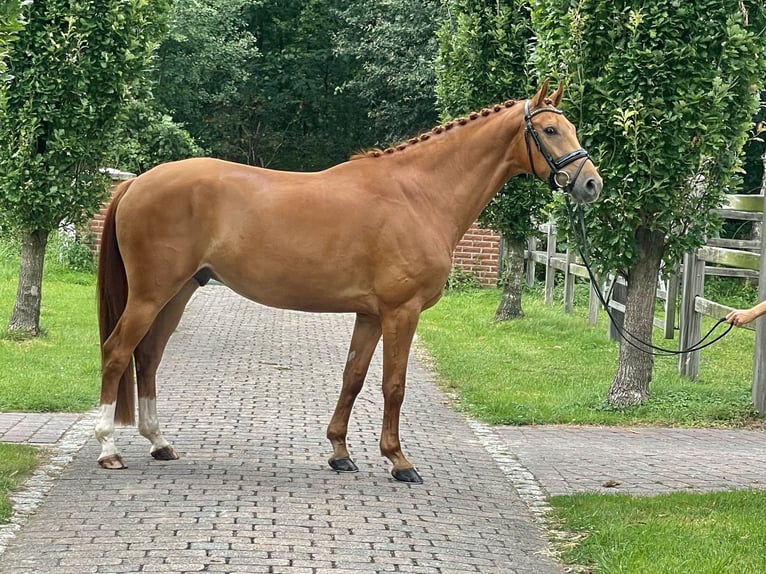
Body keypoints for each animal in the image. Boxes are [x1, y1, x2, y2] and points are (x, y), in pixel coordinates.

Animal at [96, 82, 604, 486]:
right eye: (551, 130)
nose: (591, 184)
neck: (418, 194)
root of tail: (136, 183)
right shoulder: (401, 311)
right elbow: (393, 384)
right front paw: (399, 461)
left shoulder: (370, 314)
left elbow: (353, 378)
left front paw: (340, 453)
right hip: (152, 294)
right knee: (118, 352)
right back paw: (108, 449)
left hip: (178, 292)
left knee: (148, 355)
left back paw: (159, 443)